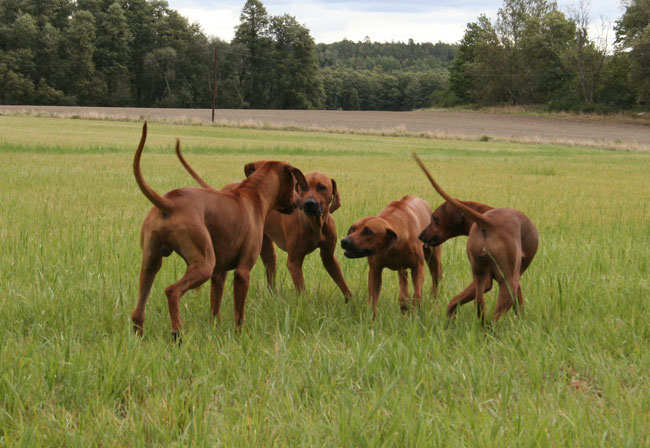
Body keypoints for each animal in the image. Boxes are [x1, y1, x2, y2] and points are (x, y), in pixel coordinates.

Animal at [130, 121, 308, 338]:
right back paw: (177, 332)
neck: (254, 194)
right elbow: (239, 314)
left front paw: (214, 329)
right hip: (203, 264)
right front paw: (240, 336)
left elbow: (215, 309)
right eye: (295, 183)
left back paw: (139, 337)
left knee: (138, 310)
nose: (299, 202)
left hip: (150, 264)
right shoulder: (242, 272)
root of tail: (169, 203)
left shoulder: (218, 273)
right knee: (171, 291)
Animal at [173, 147, 350, 300]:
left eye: (322, 187)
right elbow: (301, 289)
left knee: (270, 272)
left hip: (266, 248)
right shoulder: (294, 262)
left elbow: (342, 282)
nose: (309, 204)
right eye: (302, 188)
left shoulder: (328, 256)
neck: (315, 223)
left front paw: (351, 303)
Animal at [412, 156, 540, 324]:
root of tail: (489, 222)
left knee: (477, 305)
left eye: (434, 218)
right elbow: (519, 304)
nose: (420, 236)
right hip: (506, 282)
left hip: (481, 276)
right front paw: (520, 323)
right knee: (493, 314)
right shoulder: (511, 279)